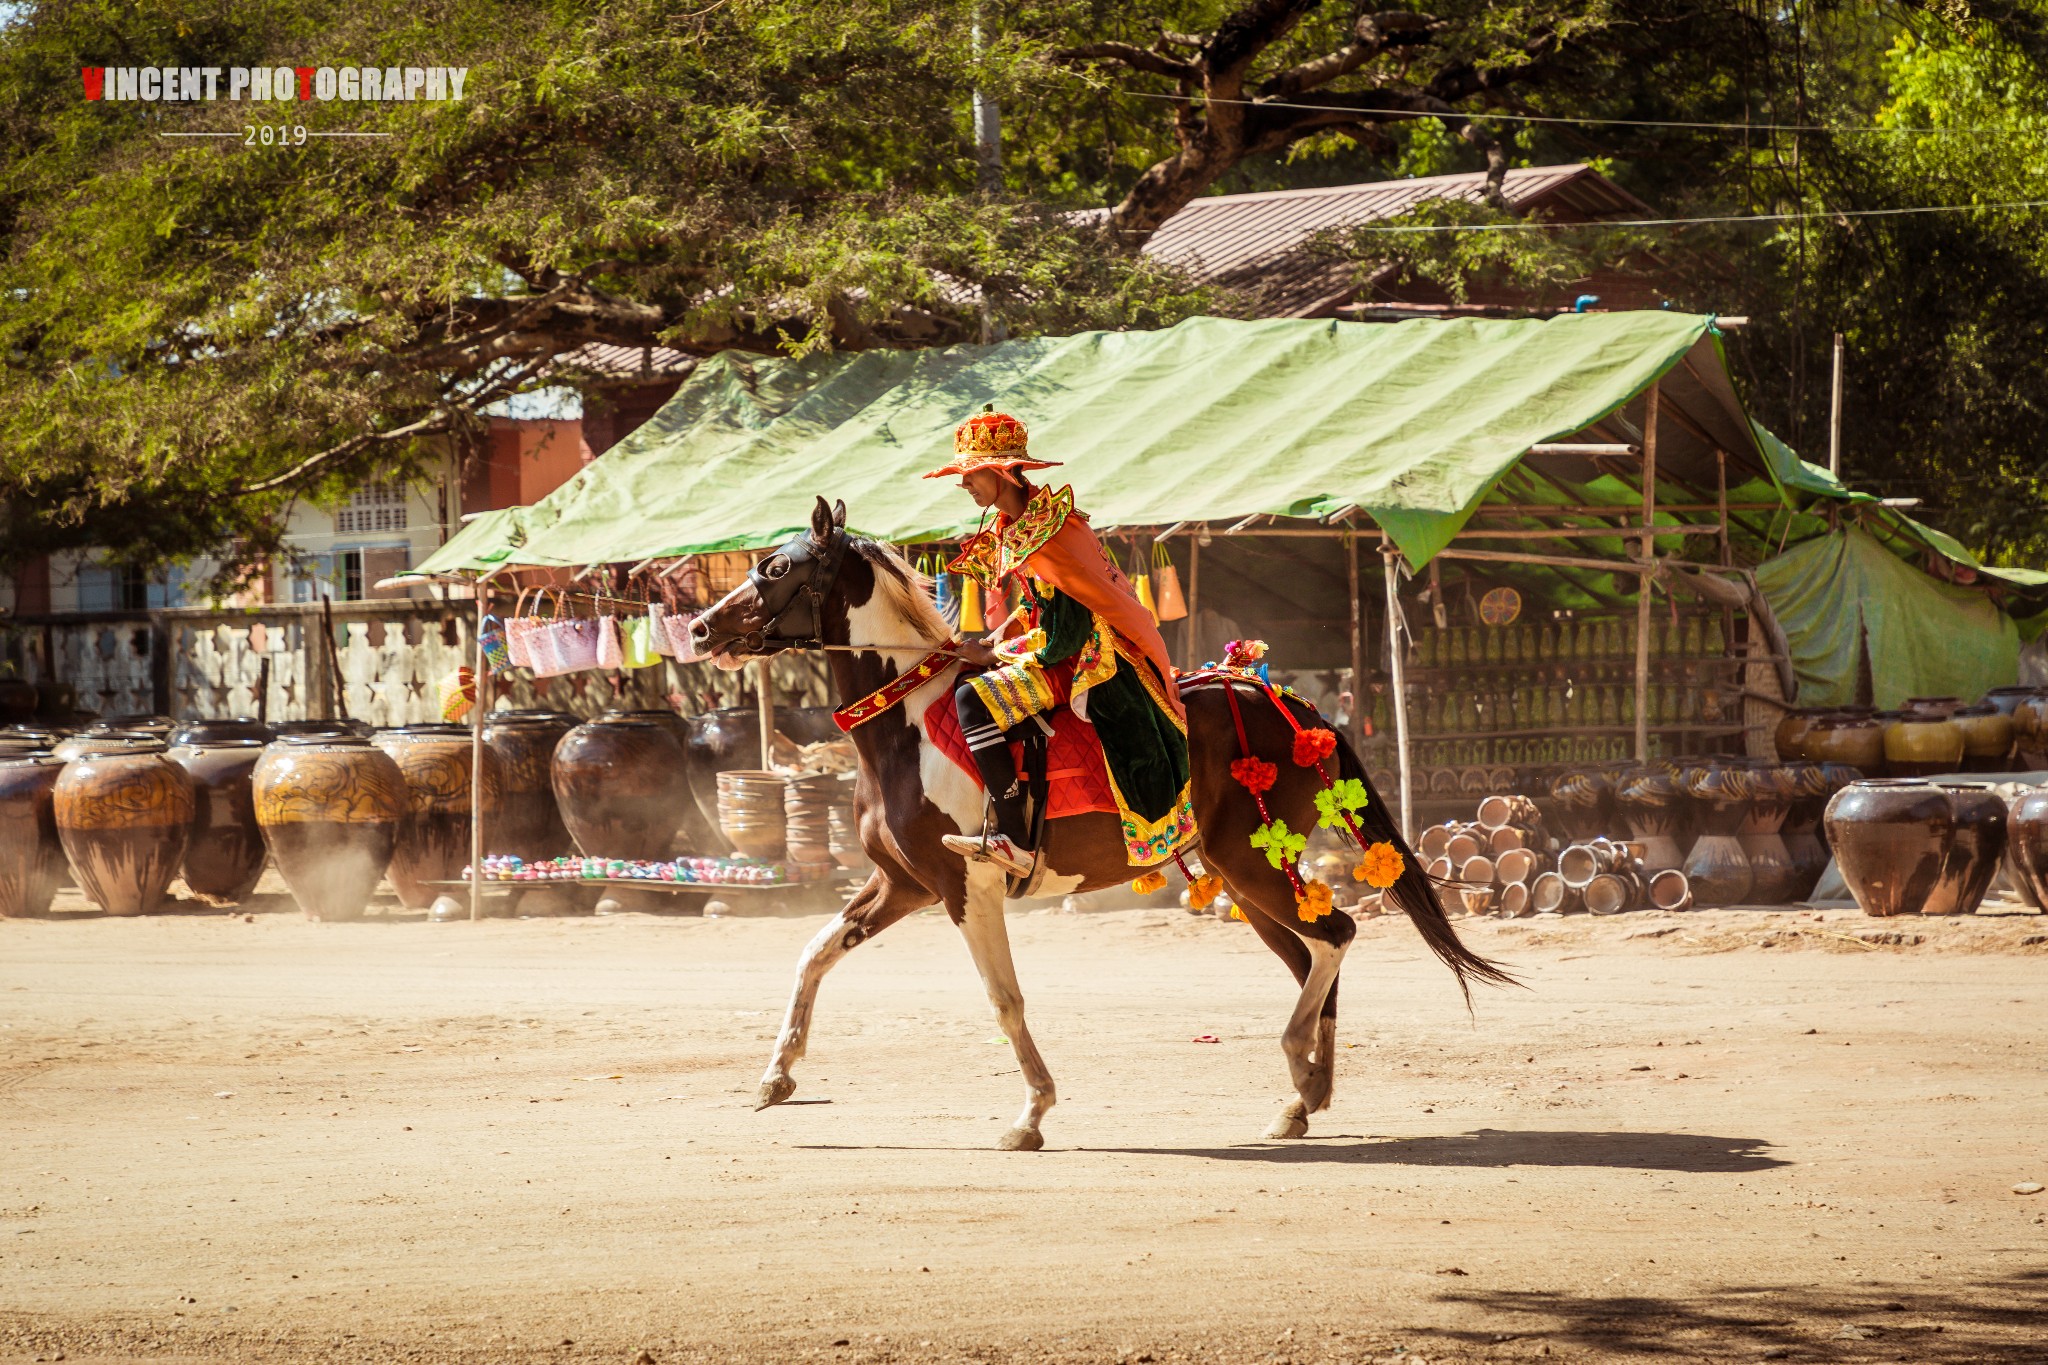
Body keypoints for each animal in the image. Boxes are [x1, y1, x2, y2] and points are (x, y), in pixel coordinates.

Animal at [688, 497, 1507, 1146]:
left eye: (773, 568)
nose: (697, 628)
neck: (907, 725)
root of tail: (1289, 704)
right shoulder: (904, 885)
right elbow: (813, 954)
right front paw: (775, 1077)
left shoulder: (965, 886)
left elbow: (1004, 999)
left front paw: (1031, 1113)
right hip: (1247, 877)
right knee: (1313, 957)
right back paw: (1305, 1096)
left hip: (1252, 865)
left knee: (1335, 936)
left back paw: (1301, 1074)